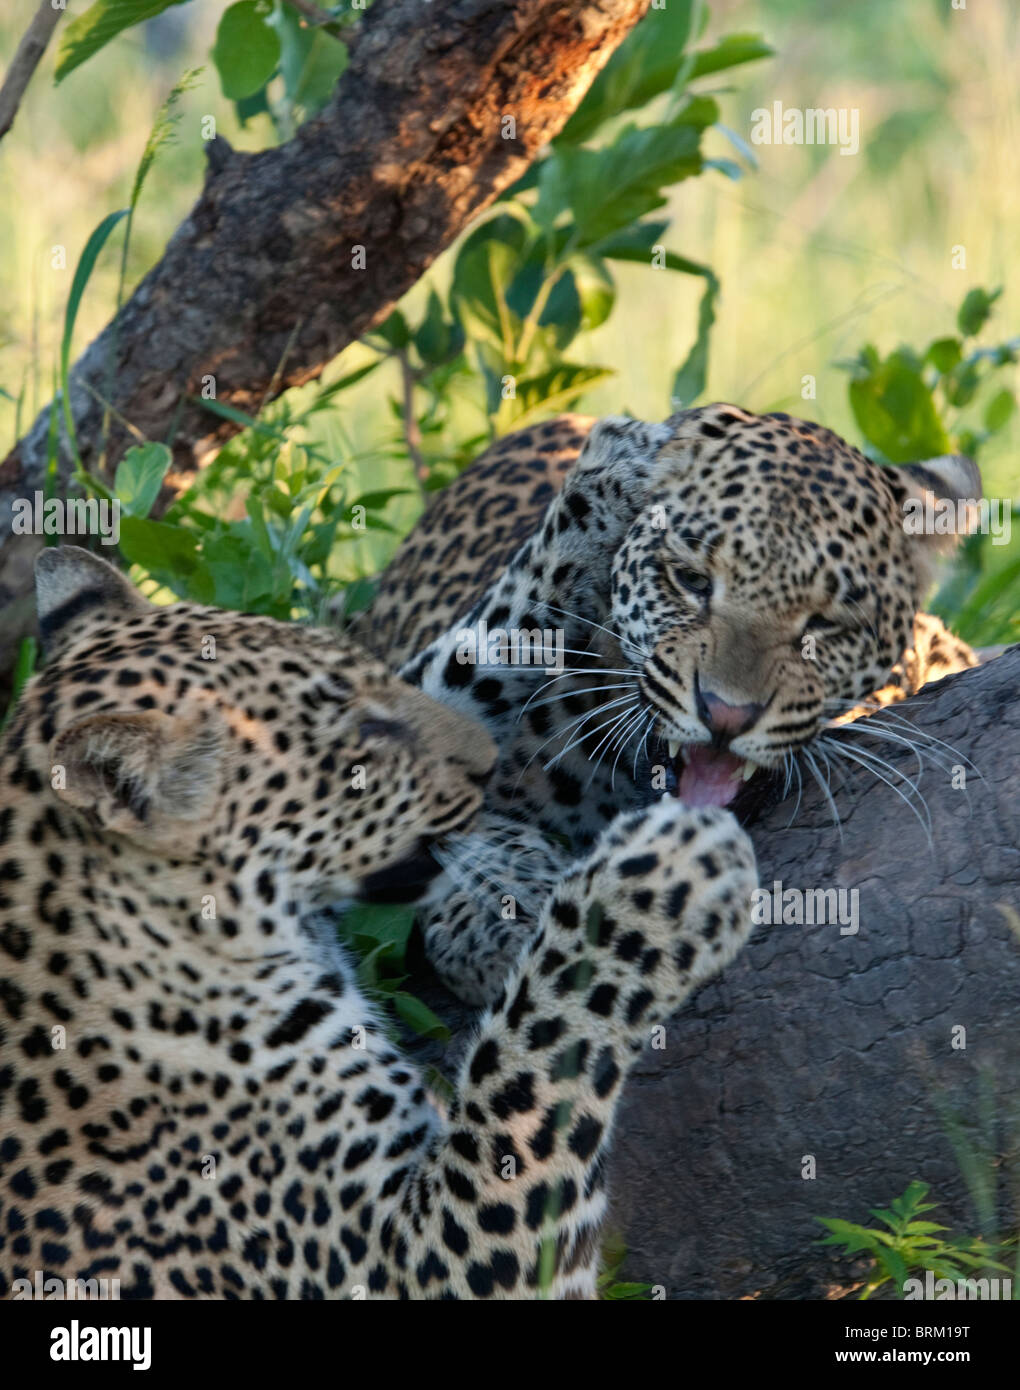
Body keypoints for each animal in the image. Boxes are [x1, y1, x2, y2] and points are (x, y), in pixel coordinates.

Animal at [0, 544, 761, 1301]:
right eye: (363, 741)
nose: (487, 765)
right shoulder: (414, 1260)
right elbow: (534, 1049)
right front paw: (662, 872)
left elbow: (480, 646)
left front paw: (597, 515)